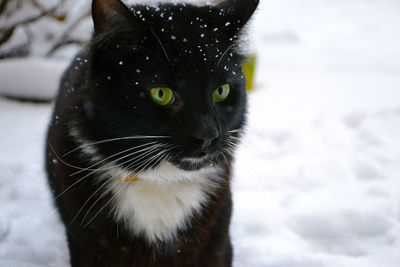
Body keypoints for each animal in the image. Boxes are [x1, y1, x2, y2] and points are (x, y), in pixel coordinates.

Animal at [46, 0, 260, 266]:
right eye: (161, 94)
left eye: (221, 91)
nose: (208, 134)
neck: (160, 181)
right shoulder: (89, 246)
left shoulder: (216, 242)